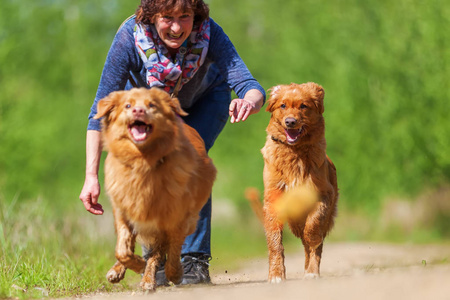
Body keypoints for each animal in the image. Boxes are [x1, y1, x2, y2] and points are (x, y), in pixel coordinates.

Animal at [94, 86, 217, 290]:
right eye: (128, 106)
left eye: (152, 105)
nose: (138, 111)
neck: (143, 163)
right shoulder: (125, 210)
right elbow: (123, 250)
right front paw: (137, 265)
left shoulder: (172, 218)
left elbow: (168, 252)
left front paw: (172, 274)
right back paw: (121, 270)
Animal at [258, 81, 336, 282]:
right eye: (283, 105)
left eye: (303, 106)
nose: (290, 121)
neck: (295, 151)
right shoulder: (273, 198)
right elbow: (274, 241)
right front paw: (276, 275)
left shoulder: (324, 194)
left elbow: (313, 227)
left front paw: (313, 240)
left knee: (313, 245)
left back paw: (312, 271)